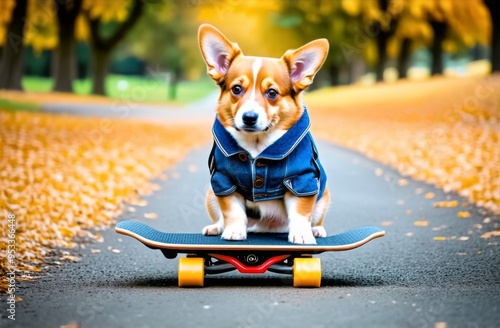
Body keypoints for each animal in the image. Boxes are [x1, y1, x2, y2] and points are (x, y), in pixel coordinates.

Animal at [197, 24, 330, 243]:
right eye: (236, 89)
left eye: (272, 93)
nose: (249, 117)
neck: (257, 146)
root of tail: (268, 227)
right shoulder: (224, 180)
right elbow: (232, 211)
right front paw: (234, 230)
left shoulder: (302, 181)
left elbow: (301, 213)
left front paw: (303, 234)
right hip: (210, 194)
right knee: (221, 217)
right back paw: (217, 227)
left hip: (324, 196)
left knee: (315, 218)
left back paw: (317, 229)